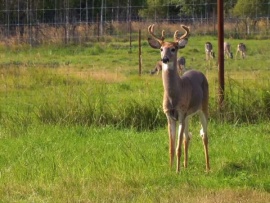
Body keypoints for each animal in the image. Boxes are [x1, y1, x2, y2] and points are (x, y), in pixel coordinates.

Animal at [147, 24, 210, 173]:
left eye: (173, 49)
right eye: (161, 48)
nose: (164, 59)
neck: (173, 97)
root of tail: (200, 73)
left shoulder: (181, 113)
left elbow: (178, 147)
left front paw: (177, 171)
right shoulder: (169, 115)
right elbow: (171, 147)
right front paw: (170, 169)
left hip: (203, 107)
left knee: (204, 136)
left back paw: (207, 168)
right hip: (188, 115)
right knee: (188, 137)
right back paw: (186, 166)